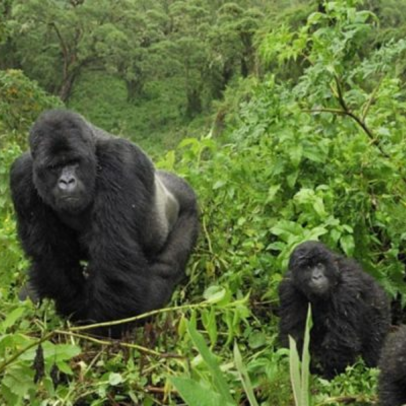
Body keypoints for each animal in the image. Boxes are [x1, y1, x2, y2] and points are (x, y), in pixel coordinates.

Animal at [10, 108, 199, 336]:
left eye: (74, 162)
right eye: (54, 167)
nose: (67, 181)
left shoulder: (121, 162)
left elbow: (114, 259)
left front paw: (98, 325)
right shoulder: (21, 176)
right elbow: (52, 259)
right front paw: (73, 310)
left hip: (188, 206)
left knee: (165, 269)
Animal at [280, 241, 390, 378]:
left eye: (320, 265)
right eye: (307, 267)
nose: (317, 277)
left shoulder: (346, 289)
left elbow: (341, 340)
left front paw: (330, 376)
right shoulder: (288, 289)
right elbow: (294, 334)